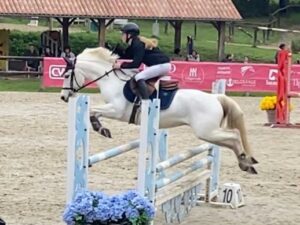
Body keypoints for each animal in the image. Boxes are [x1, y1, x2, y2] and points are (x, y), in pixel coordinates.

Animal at [60, 47, 258, 174]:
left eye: (68, 75)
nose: (63, 97)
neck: (111, 81)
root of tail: (215, 98)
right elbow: (94, 112)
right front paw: (101, 129)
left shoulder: (116, 110)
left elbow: (93, 111)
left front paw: (102, 129)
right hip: (209, 134)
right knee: (229, 141)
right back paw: (246, 163)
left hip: (206, 131)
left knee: (233, 135)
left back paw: (246, 159)